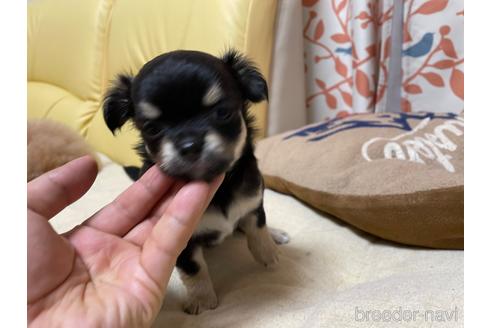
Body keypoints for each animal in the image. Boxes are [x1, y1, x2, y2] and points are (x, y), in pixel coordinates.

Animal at [104, 50, 288, 314]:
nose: (189, 145)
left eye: (223, 113)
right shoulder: (184, 241)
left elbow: (257, 227)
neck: (221, 187)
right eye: (152, 129)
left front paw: (269, 254)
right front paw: (202, 300)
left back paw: (276, 235)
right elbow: (195, 267)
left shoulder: (253, 201)